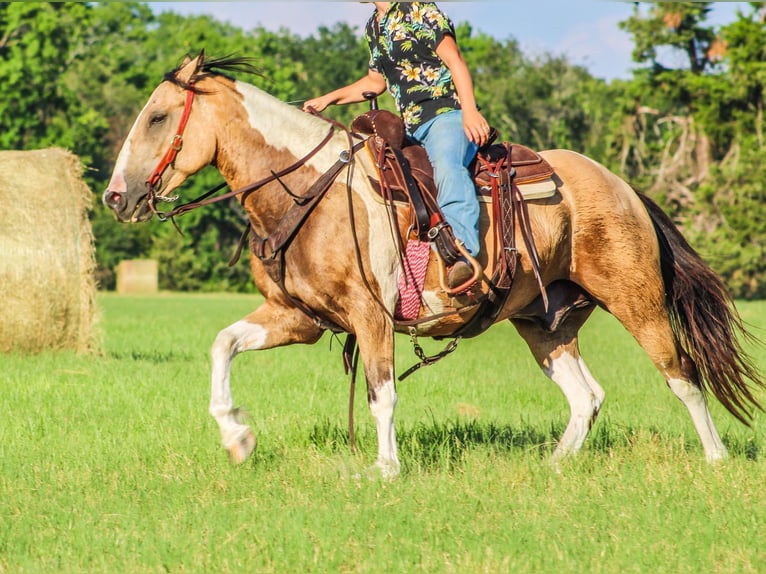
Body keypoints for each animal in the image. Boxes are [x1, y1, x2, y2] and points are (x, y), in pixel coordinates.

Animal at [103, 53, 764, 477]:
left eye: (158, 117)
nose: (115, 197)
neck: (310, 189)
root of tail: (622, 186)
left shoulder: (371, 317)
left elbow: (382, 394)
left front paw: (387, 469)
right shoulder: (297, 317)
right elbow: (223, 345)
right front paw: (237, 437)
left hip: (637, 300)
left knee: (683, 375)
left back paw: (715, 460)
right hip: (545, 322)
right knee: (587, 397)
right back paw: (553, 467)